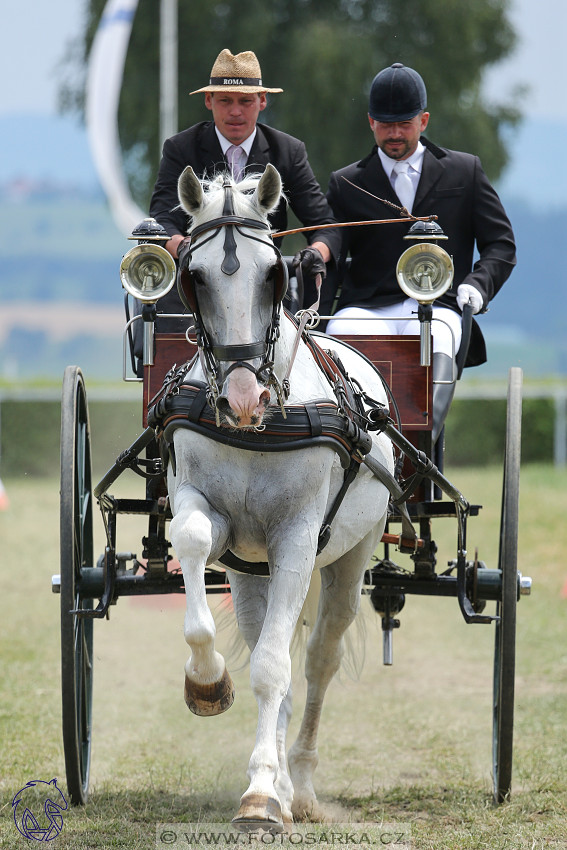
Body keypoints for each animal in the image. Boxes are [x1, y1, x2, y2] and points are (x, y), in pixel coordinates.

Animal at [164, 166, 394, 828]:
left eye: (274, 273)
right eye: (194, 275)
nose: (243, 398)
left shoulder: (296, 536)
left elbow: (274, 668)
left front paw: (263, 795)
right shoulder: (215, 519)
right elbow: (192, 541)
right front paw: (207, 684)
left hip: (350, 553)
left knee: (317, 658)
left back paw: (303, 787)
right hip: (252, 571)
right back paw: (287, 786)